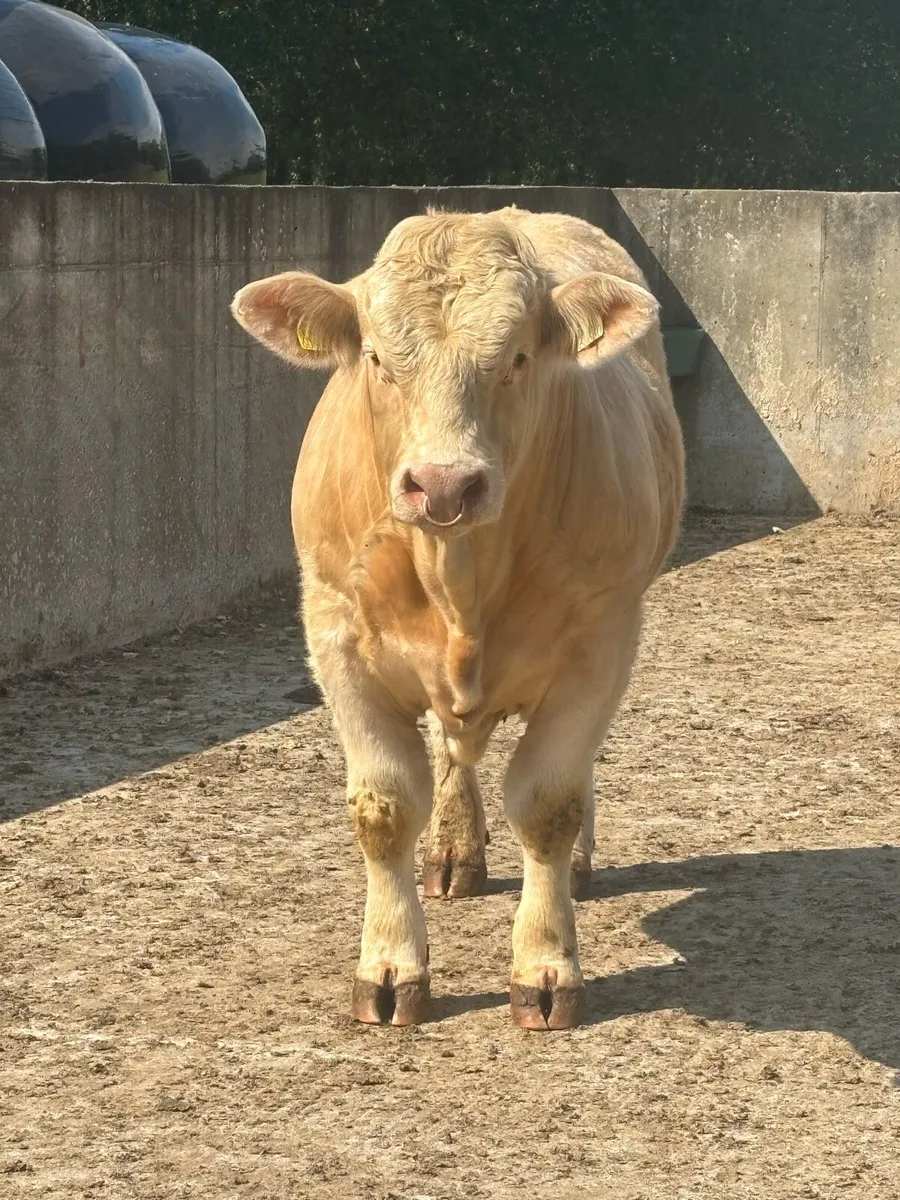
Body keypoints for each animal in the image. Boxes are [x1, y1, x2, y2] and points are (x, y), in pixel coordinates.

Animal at [230, 206, 685, 1030]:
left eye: (518, 358)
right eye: (377, 359)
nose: (443, 485)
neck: (460, 577)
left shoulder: (602, 639)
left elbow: (549, 801)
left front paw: (545, 966)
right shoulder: (335, 633)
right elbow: (383, 806)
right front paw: (388, 965)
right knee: (452, 750)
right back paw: (452, 852)